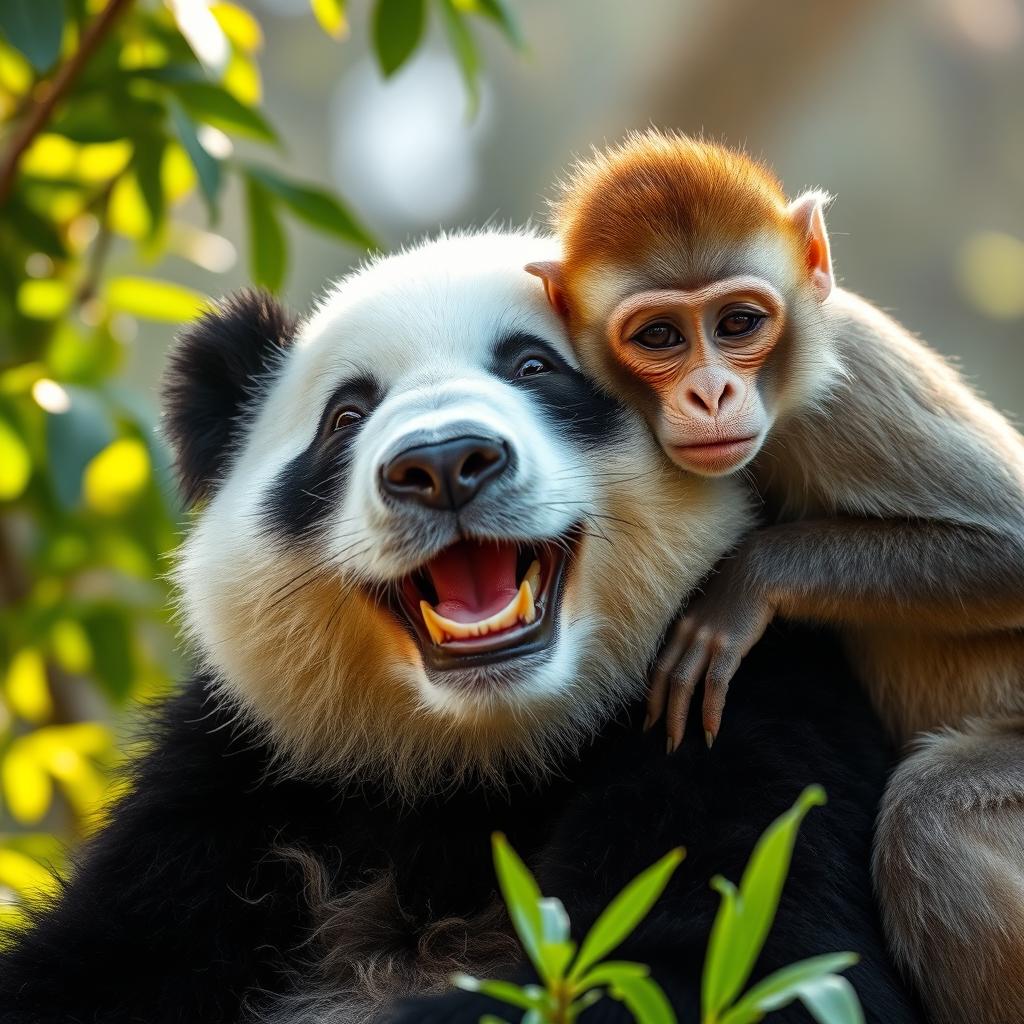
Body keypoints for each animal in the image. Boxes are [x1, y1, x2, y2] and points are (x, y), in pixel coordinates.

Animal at [0, 232, 925, 1024]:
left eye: (534, 366)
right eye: (347, 415)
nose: (444, 462)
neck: (477, 761)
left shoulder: (739, 700)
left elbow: (739, 962)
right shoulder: (239, 779)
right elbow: (89, 964)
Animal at [528, 132, 1024, 1019]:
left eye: (738, 323)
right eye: (660, 337)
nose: (711, 391)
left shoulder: (852, 378)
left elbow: (1014, 549)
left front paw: (743, 587)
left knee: (930, 816)